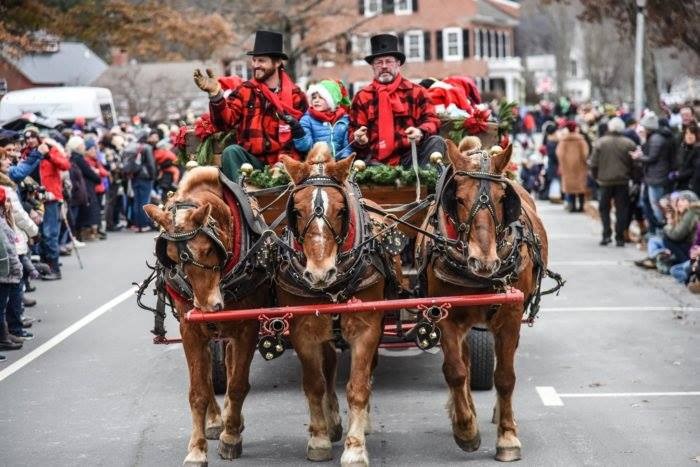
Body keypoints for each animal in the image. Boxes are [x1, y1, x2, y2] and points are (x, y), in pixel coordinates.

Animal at [144, 168, 270, 467]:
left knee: (232, 366)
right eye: (171, 257)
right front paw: (197, 449)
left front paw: (231, 437)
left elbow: (238, 384)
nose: (207, 307)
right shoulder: (191, 328)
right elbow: (199, 391)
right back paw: (215, 421)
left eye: (208, 249)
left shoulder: (247, 327)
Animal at [276, 144, 402, 466]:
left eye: (342, 211)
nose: (320, 273)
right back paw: (332, 422)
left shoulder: (366, 328)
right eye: (296, 211)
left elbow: (357, 387)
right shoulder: (303, 331)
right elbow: (315, 383)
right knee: (329, 368)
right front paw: (319, 438)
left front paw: (355, 448)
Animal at [416, 137, 552, 462]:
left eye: (503, 198)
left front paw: (507, 437)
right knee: (464, 362)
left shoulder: (510, 315)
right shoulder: (446, 315)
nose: (484, 262)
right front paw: (465, 429)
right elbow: (455, 371)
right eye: (458, 198)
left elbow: (504, 376)